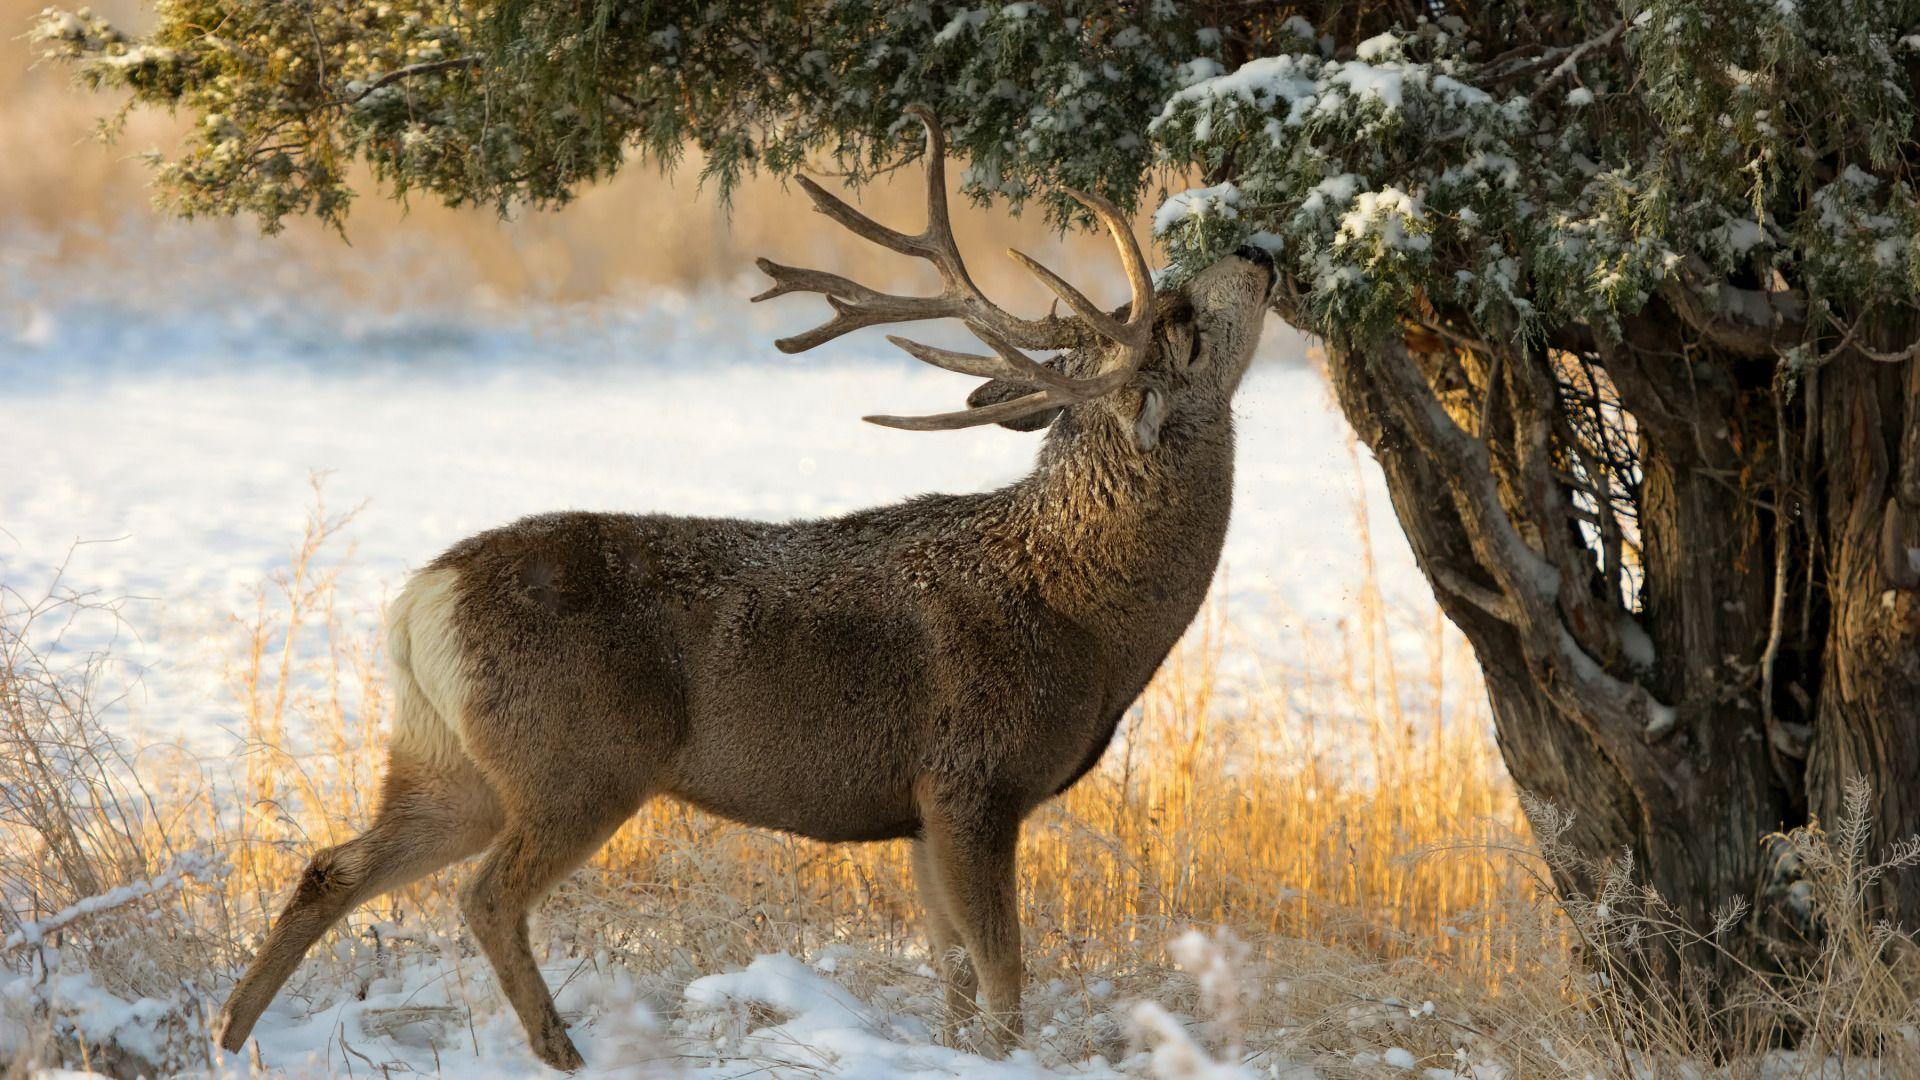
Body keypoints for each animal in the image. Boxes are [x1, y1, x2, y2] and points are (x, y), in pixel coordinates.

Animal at [212, 107, 1275, 1071]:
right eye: (1179, 324)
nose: (1259, 247)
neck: (1083, 612)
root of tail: (422, 599)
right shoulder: (974, 778)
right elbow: (1005, 976)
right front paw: (1010, 1059)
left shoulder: (920, 809)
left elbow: (956, 980)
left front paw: (953, 1050)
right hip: (579, 759)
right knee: (484, 893)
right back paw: (560, 1050)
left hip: (449, 760)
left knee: (333, 866)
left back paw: (231, 1036)